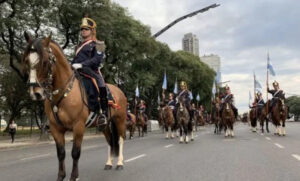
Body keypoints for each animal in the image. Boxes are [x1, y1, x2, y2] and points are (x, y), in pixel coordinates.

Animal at [22, 33, 126, 181]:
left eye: (45, 62)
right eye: (27, 61)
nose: (35, 93)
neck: (64, 92)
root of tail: (119, 90)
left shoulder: (78, 126)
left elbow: (75, 153)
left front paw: (74, 176)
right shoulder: (56, 129)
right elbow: (61, 153)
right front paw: (61, 176)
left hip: (120, 120)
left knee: (120, 139)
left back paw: (120, 163)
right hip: (105, 125)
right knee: (110, 141)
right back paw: (109, 163)